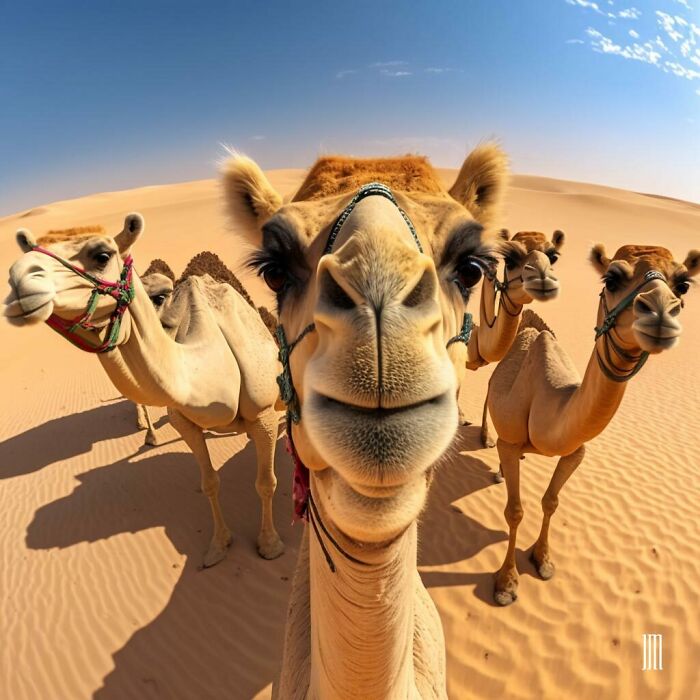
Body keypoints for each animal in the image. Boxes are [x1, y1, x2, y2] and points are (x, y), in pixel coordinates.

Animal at [4, 221, 285, 565]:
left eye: (101, 255)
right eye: (28, 251)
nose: (18, 279)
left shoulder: (263, 416)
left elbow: (266, 483)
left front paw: (270, 544)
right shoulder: (184, 422)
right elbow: (209, 482)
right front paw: (219, 545)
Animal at [486, 243, 699, 606]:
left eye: (683, 284)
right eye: (611, 278)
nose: (660, 313)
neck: (550, 400)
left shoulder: (576, 452)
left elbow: (551, 502)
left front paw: (543, 560)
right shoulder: (513, 442)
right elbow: (514, 511)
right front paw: (506, 583)